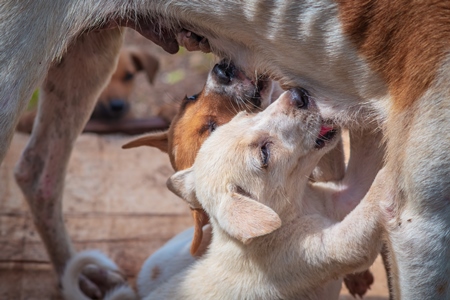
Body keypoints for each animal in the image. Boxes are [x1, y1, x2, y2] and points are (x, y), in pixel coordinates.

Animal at [0, 1, 450, 298]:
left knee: (36, 171)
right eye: (263, 153)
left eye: (189, 95)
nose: (301, 96)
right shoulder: (421, 230)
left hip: (86, 52)